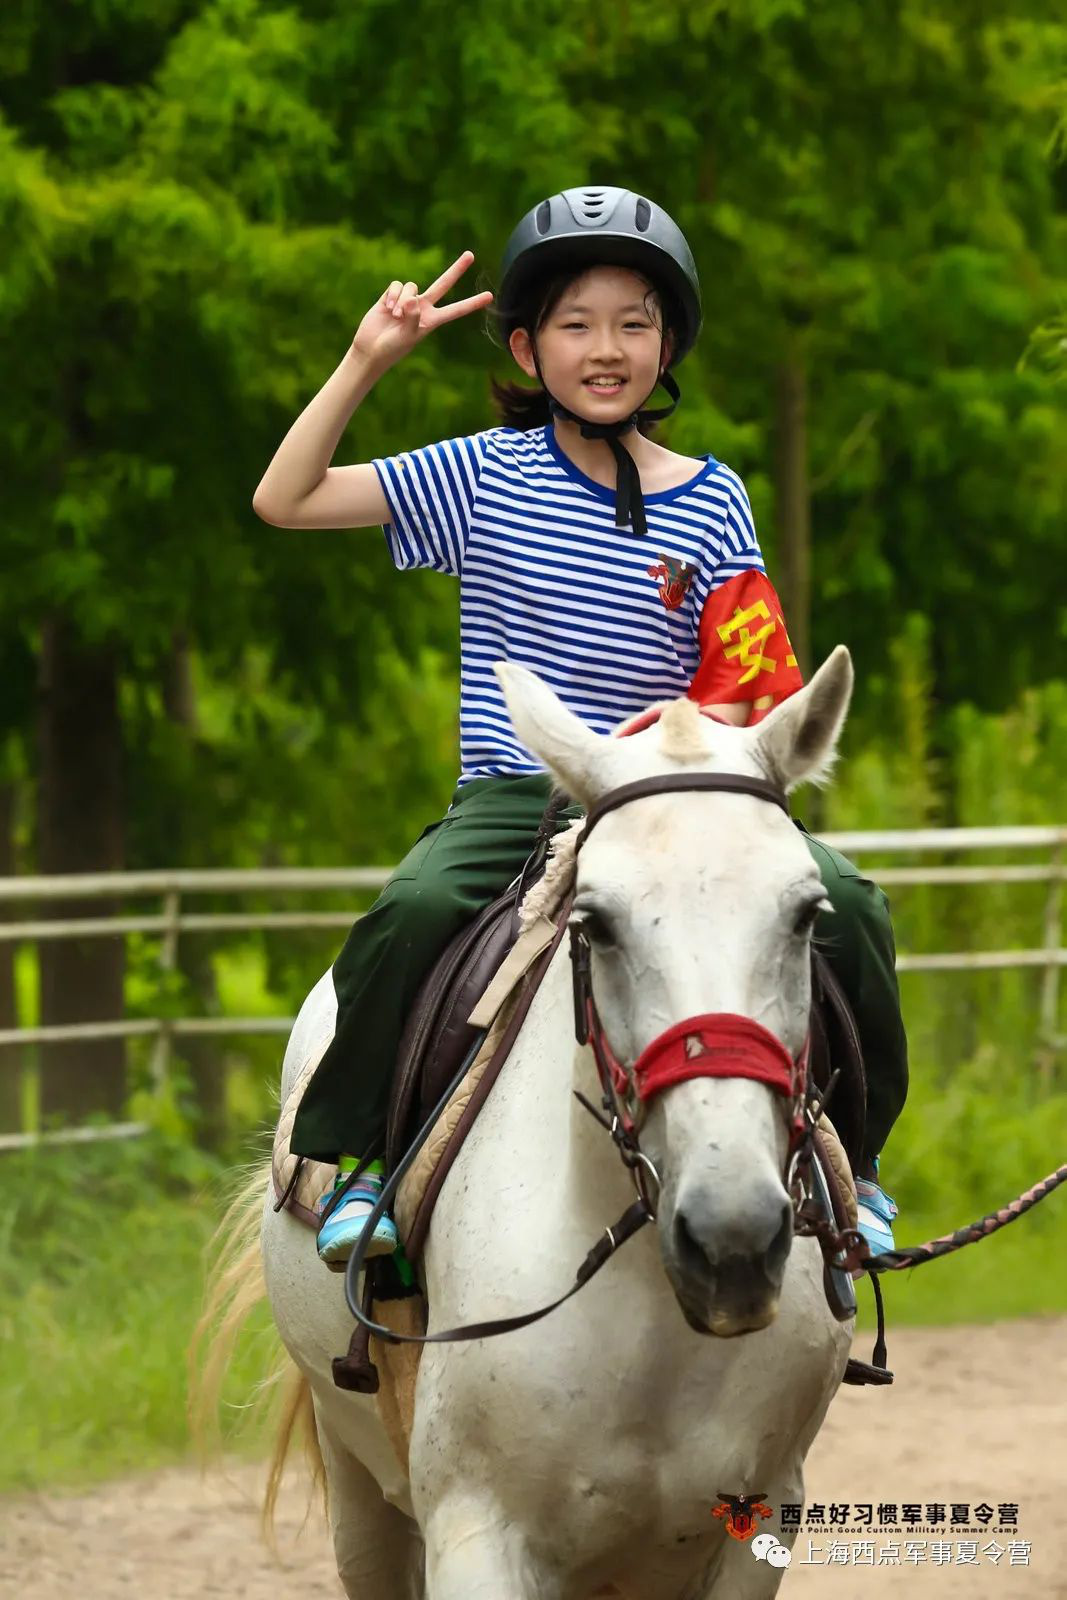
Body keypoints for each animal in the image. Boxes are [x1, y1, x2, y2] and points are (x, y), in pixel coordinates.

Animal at [214, 643, 857, 1593]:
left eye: (806, 915)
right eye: (597, 922)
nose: (730, 1238)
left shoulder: (759, 1525)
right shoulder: (477, 1532)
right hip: (359, 1490)